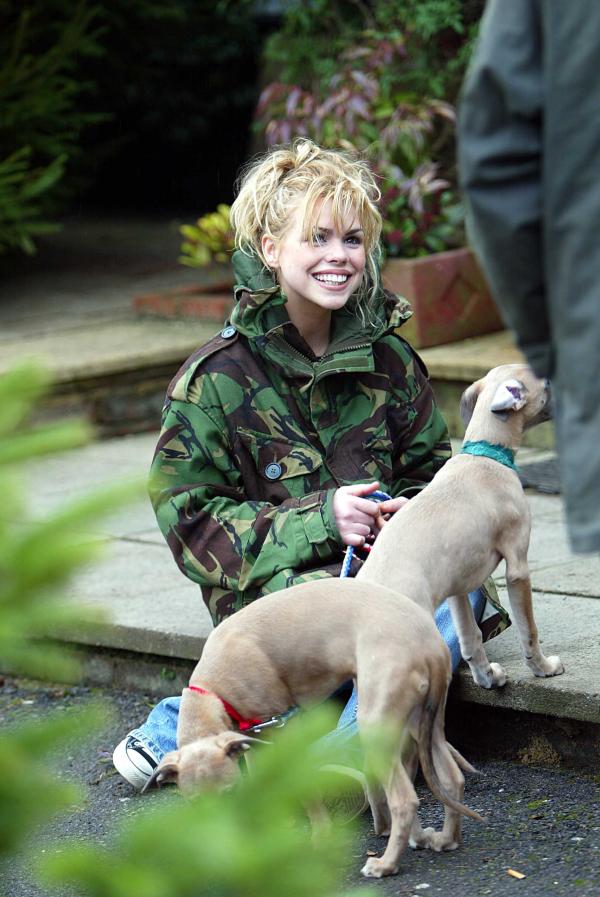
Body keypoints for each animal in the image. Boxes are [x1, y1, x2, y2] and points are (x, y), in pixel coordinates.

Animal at [145, 576, 482, 880]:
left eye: (229, 793)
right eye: (195, 805)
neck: (214, 688)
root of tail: (430, 642)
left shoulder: (284, 729)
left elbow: (305, 791)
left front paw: (320, 836)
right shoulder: (252, 737)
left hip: (376, 725)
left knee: (405, 799)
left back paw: (386, 864)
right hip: (422, 721)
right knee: (451, 777)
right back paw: (443, 839)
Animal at [358, 360, 564, 688]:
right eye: (544, 382)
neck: (485, 454)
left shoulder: (458, 586)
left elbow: (470, 638)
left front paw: (487, 676)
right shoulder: (518, 566)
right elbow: (528, 630)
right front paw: (543, 667)